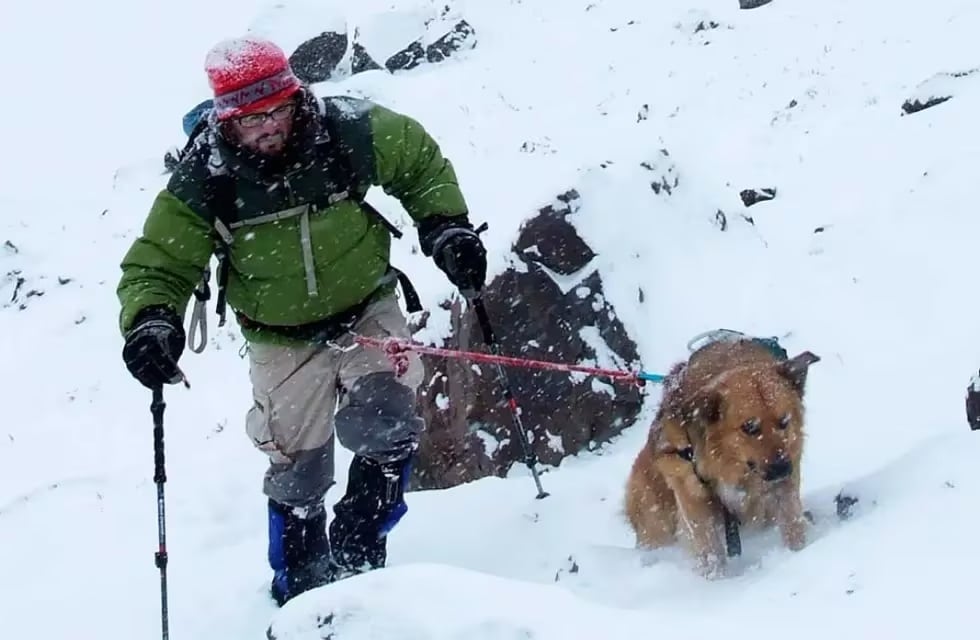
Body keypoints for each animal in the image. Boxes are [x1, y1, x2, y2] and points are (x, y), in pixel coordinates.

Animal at [628, 338, 820, 576]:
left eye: (784, 421)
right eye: (749, 427)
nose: (782, 468)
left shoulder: (784, 482)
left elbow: (792, 521)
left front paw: (797, 552)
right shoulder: (693, 498)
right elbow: (708, 548)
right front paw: (717, 580)